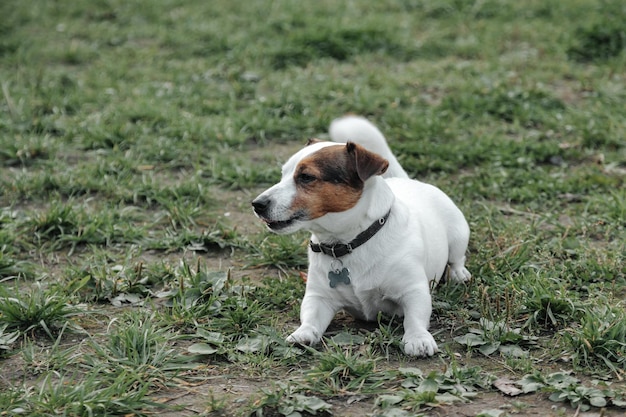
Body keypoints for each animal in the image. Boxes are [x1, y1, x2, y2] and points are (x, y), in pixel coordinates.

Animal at [250, 115, 468, 356]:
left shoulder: (414, 290)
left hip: (459, 233)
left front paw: (418, 338)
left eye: (306, 177)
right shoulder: (319, 297)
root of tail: (408, 180)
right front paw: (303, 333)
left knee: (458, 257)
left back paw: (459, 273)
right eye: (283, 175)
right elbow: (310, 318)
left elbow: (415, 317)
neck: (348, 243)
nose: (257, 204)